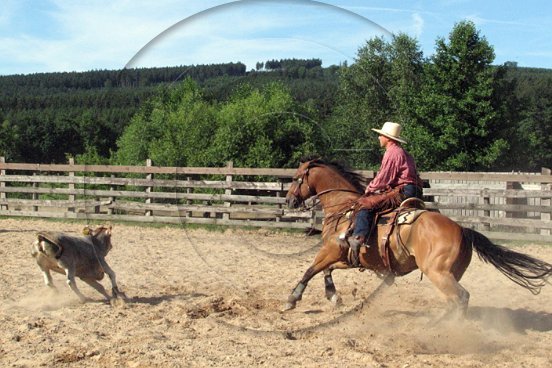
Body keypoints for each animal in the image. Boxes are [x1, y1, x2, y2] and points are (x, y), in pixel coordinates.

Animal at [284, 158, 552, 320]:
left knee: (461, 297)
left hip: (437, 272)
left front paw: (292, 299)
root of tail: (462, 230)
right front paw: (333, 296)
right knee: (454, 300)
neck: (343, 207)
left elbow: (310, 270)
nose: (289, 200)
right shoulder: (345, 257)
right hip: (451, 273)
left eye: (296, 178)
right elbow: (326, 271)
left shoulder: (330, 250)